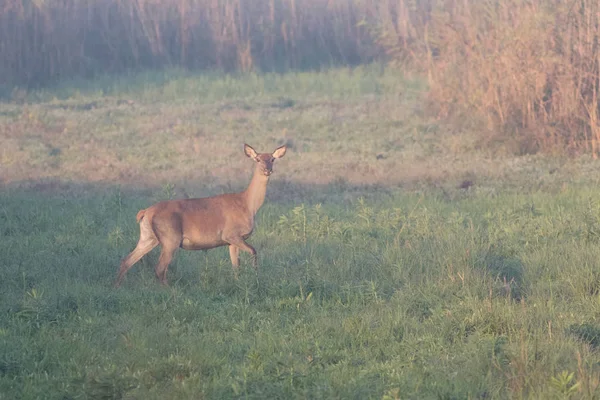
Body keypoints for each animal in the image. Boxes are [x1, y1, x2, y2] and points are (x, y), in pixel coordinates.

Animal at [116, 144, 290, 288]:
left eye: (272, 159)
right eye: (258, 159)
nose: (267, 170)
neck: (248, 205)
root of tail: (146, 212)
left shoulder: (231, 241)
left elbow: (236, 266)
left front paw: (239, 283)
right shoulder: (231, 234)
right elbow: (254, 251)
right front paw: (255, 276)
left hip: (148, 237)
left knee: (127, 260)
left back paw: (117, 287)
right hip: (170, 238)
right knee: (159, 269)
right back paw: (171, 291)